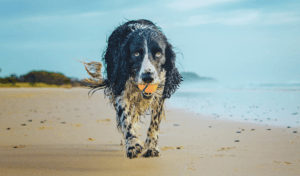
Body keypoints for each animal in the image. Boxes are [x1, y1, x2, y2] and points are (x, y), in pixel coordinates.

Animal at [84, 19, 183, 160]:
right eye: (136, 53)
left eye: (159, 53)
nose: (148, 77)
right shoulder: (121, 92)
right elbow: (126, 119)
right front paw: (132, 145)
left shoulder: (159, 94)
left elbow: (154, 123)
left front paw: (151, 147)